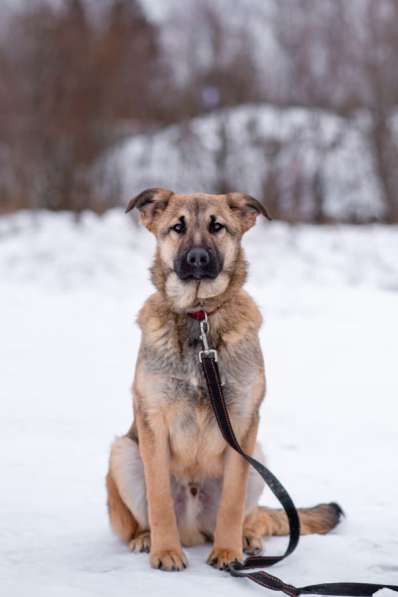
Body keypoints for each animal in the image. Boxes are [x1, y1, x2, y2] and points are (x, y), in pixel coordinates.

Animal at [105, 189, 338, 572]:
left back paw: (245, 537)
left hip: (257, 457)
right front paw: (165, 551)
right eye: (178, 227)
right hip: (124, 452)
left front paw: (228, 552)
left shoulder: (242, 424)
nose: (198, 258)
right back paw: (146, 538)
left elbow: (231, 500)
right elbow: (159, 499)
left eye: (217, 227)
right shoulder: (153, 421)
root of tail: (194, 530)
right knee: (139, 520)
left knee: (247, 516)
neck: (200, 318)